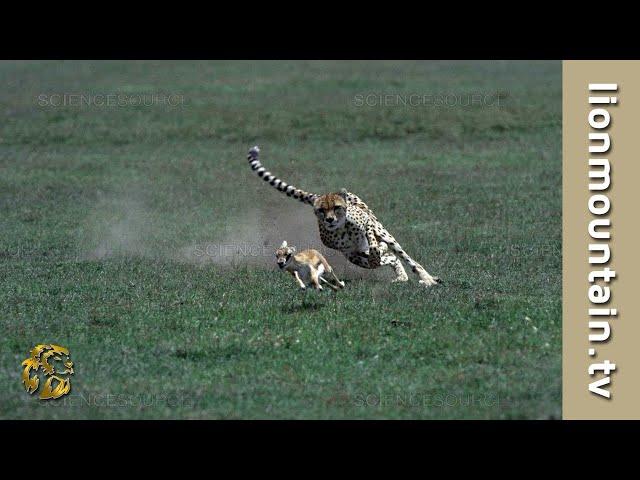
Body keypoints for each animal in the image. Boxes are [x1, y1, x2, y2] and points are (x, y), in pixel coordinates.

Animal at [248, 146, 442, 286]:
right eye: (322, 210)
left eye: (336, 207)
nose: (329, 219)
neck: (341, 228)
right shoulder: (352, 252)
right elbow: (375, 257)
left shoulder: (368, 224)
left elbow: (373, 241)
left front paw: (377, 249)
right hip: (356, 257)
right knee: (388, 258)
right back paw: (401, 276)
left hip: (384, 234)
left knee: (403, 257)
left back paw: (427, 279)